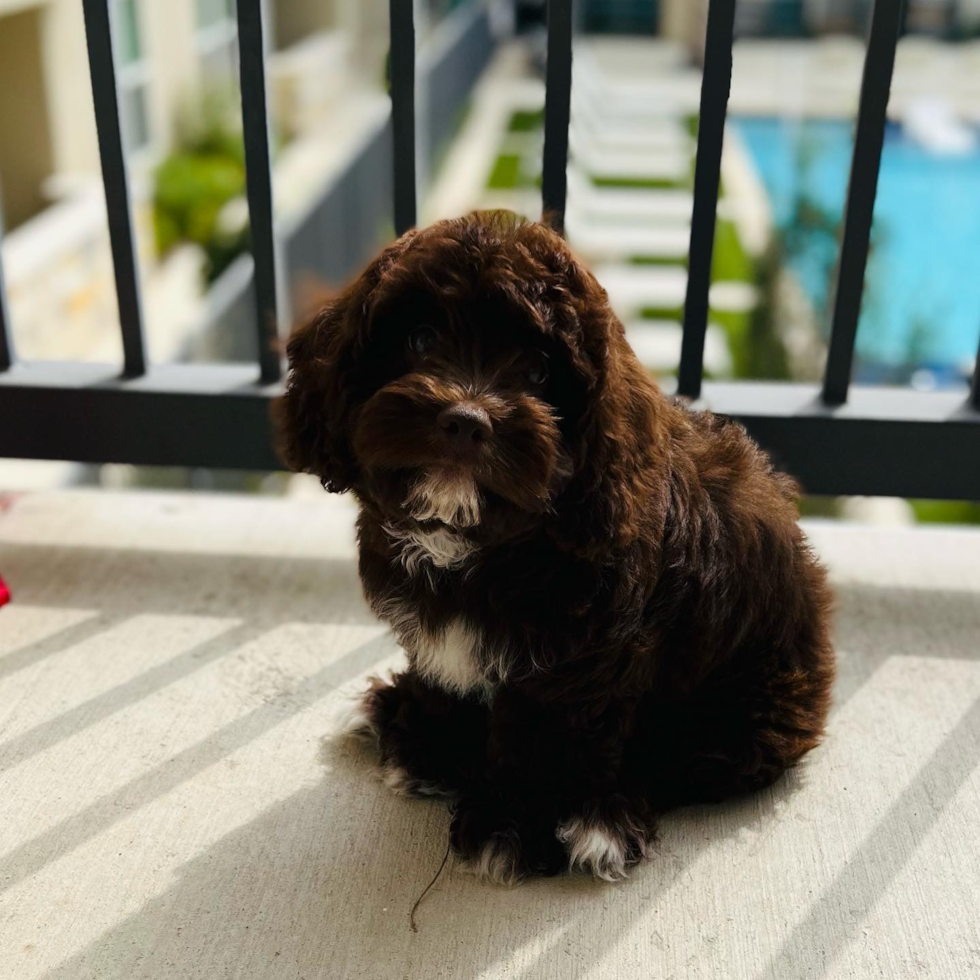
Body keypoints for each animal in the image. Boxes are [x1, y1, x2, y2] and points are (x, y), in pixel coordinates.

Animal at [276, 211, 836, 884]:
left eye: (539, 372)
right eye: (420, 338)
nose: (466, 420)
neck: (479, 547)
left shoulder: (574, 668)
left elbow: (541, 734)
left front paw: (512, 826)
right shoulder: (438, 637)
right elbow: (446, 676)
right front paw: (430, 749)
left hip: (748, 705)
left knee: (686, 759)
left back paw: (604, 815)